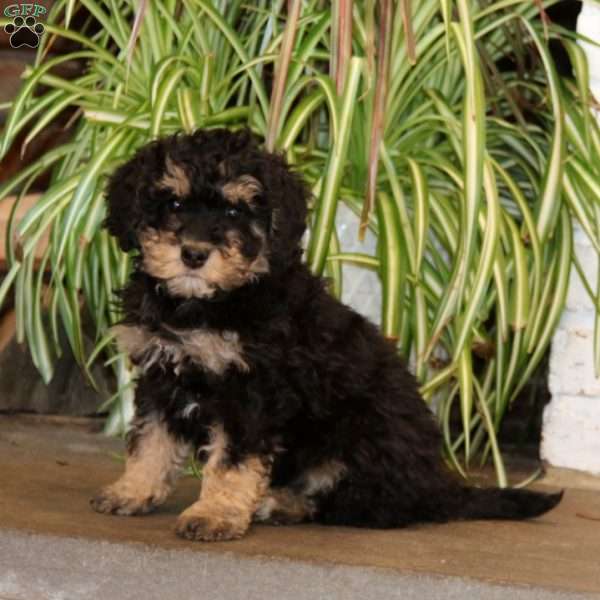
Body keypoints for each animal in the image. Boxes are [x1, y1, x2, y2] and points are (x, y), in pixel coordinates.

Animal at [90, 129, 564, 540]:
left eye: (234, 211)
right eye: (172, 202)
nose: (193, 254)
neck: (205, 305)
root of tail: (436, 487)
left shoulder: (251, 394)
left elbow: (231, 461)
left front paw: (215, 514)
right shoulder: (161, 374)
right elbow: (150, 440)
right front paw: (132, 490)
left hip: (364, 440)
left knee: (358, 505)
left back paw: (279, 504)